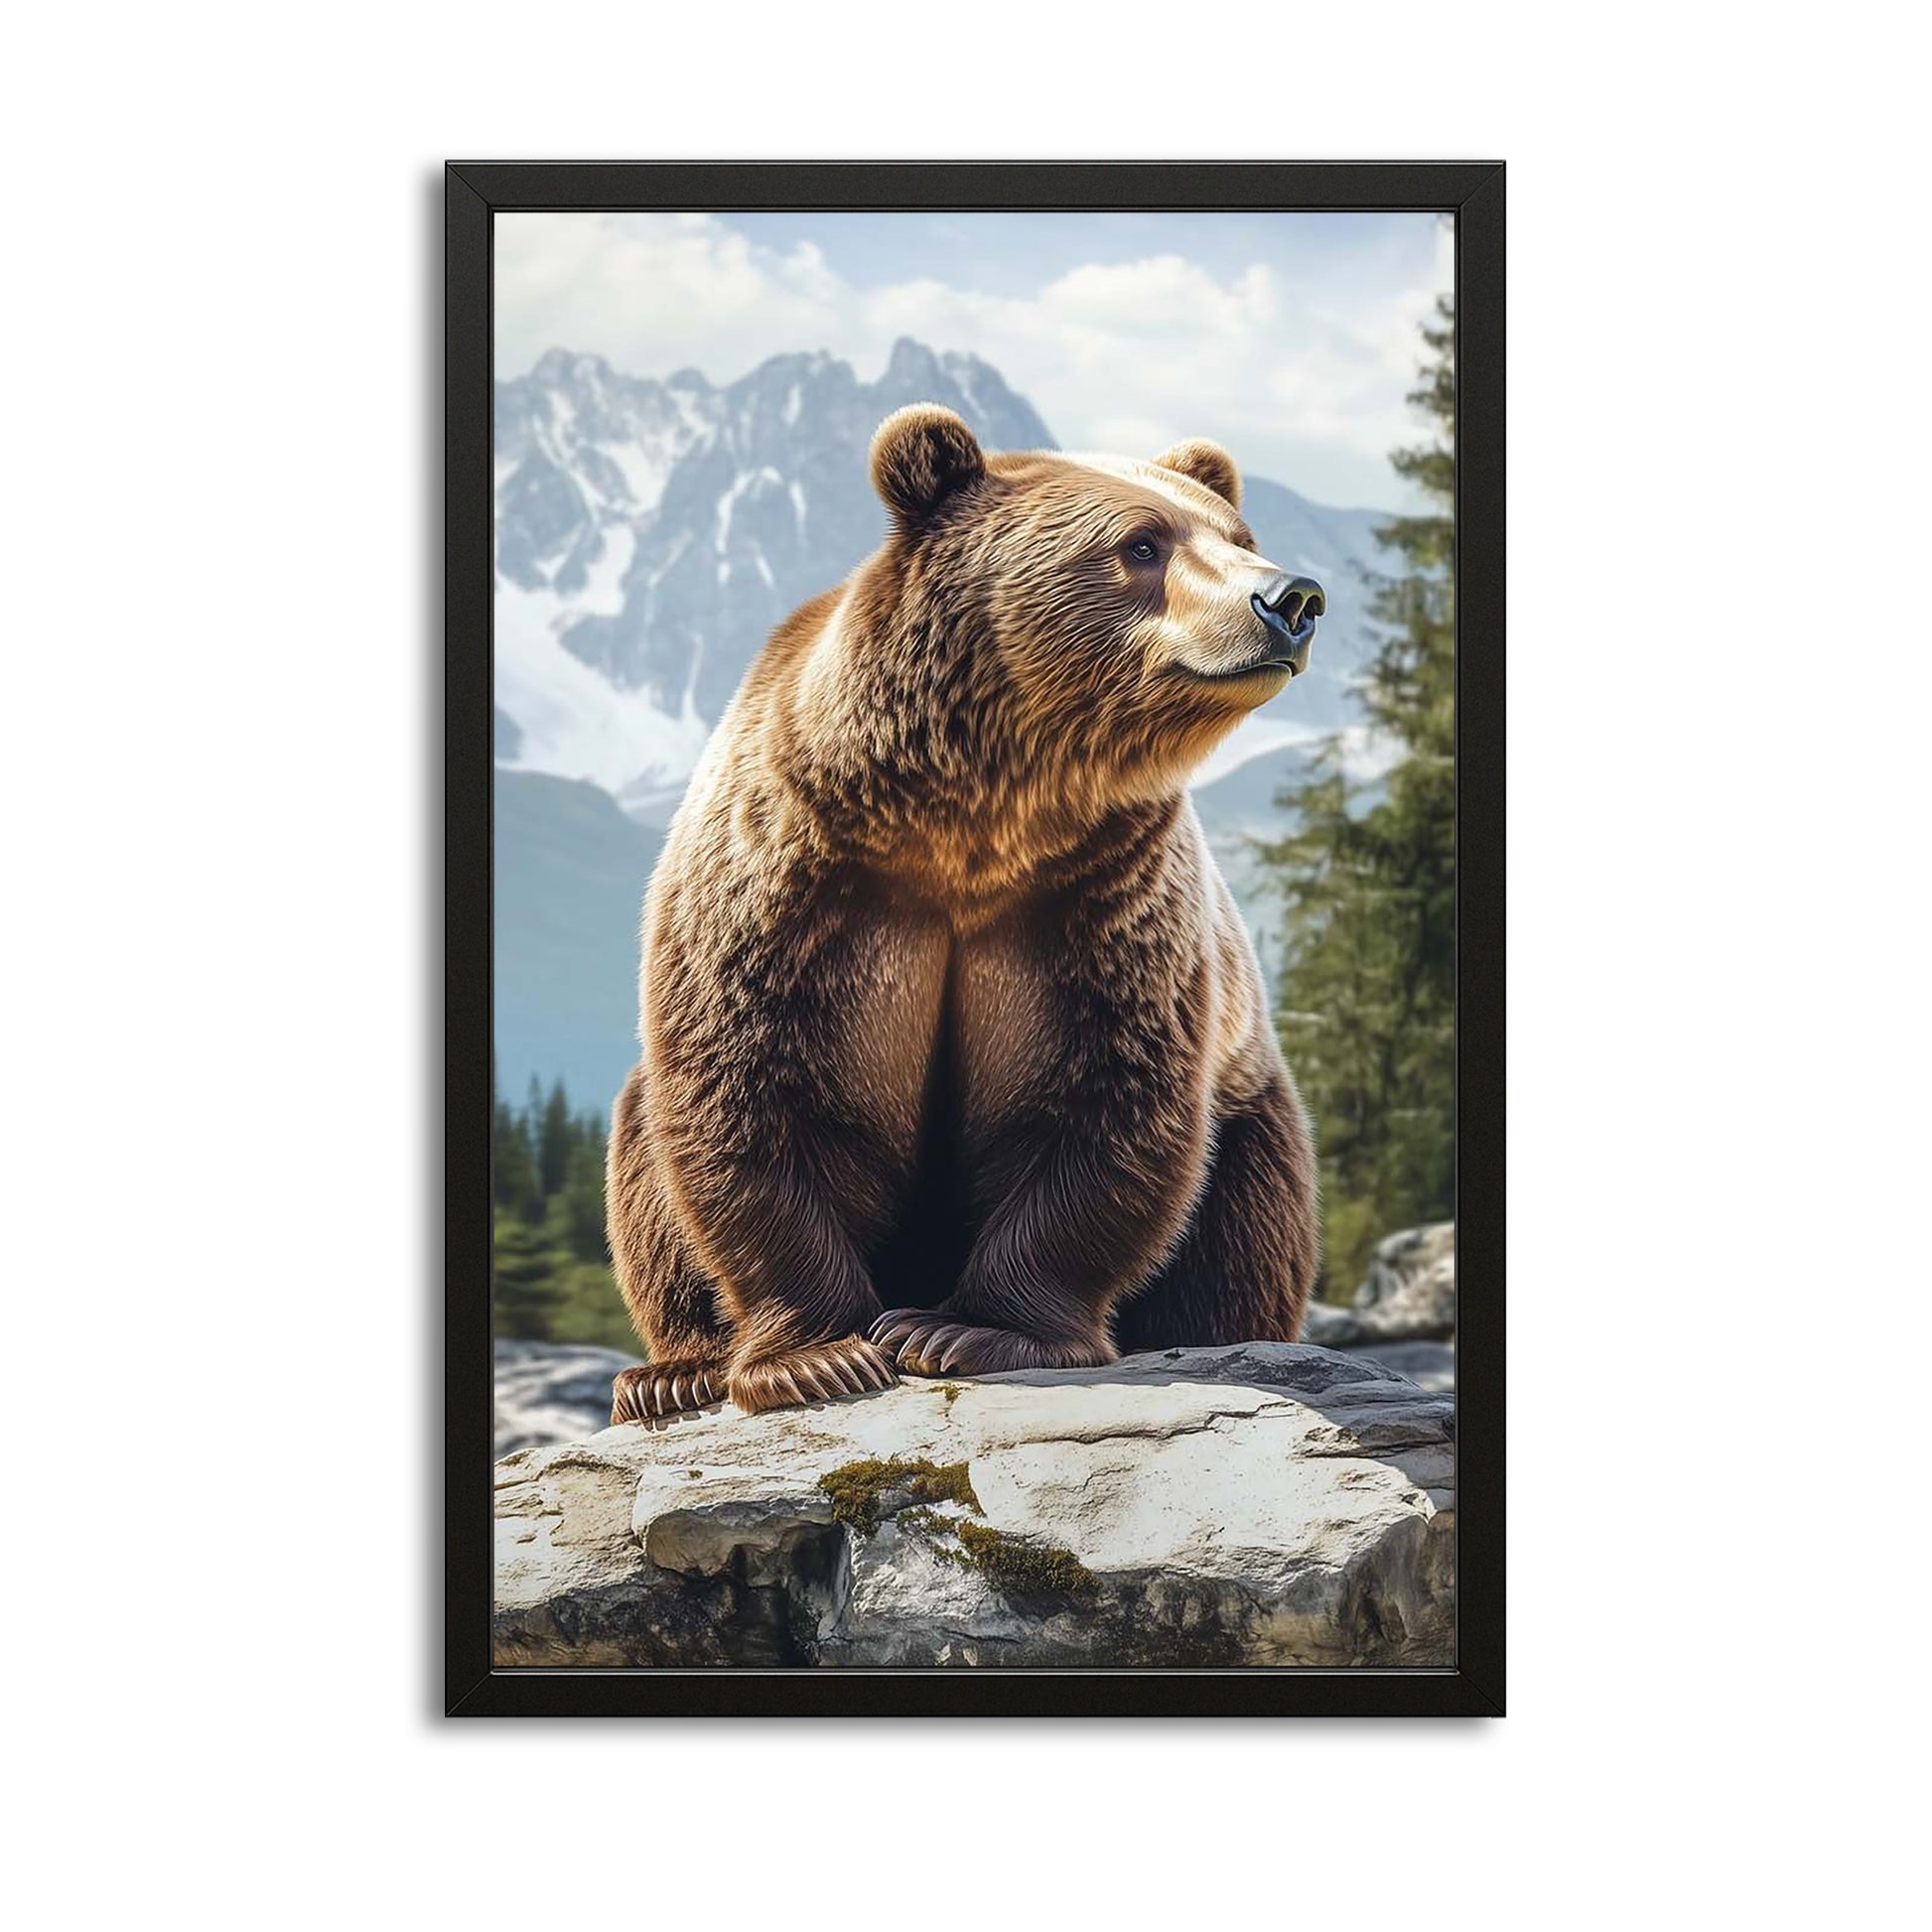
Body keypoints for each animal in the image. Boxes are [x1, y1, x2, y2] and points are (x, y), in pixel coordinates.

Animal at [605, 404, 1325, 1421]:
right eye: (1141, 544)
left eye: (1238, 536)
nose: (1292, 598)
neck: (971, 815)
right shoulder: (795, 876)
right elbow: (750, 1094)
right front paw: (819, 1356)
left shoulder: (1098, 897)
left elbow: (1102, 1105)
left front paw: (959, 1331)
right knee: (643, 1154)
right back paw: (672, 1371)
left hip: (1250, 1101)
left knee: (1245, 1224)